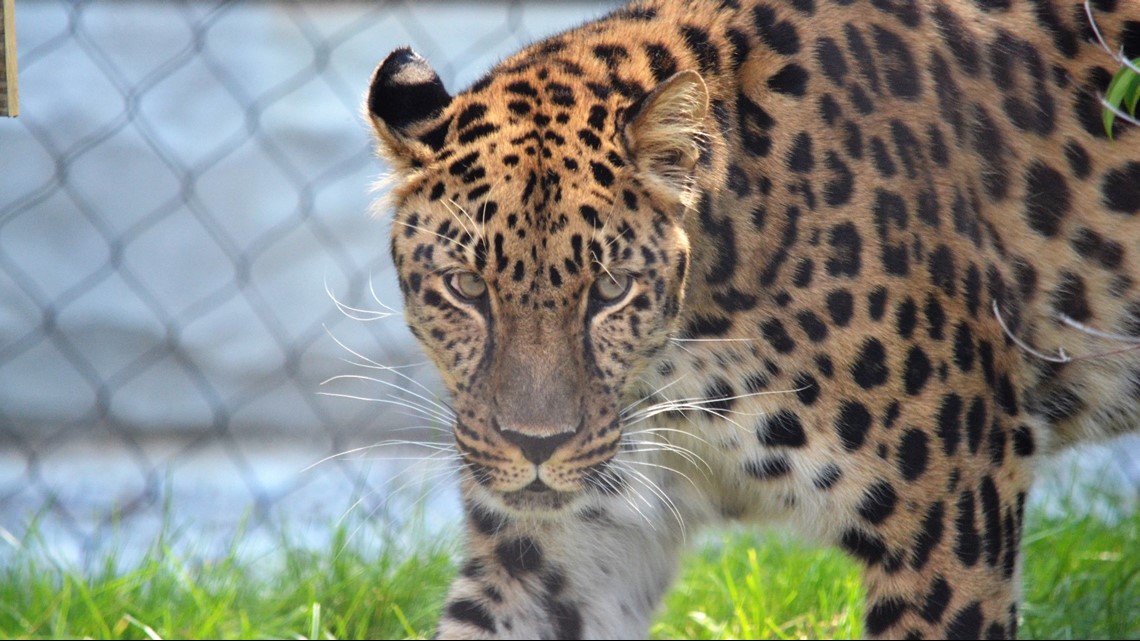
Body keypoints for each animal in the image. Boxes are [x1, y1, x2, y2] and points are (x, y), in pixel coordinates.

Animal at [362, 1, 1140, 634]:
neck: (682, 368)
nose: (535, 445)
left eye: (610, 289)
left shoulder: (951, 508)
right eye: (466, 286)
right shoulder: (565, 547)